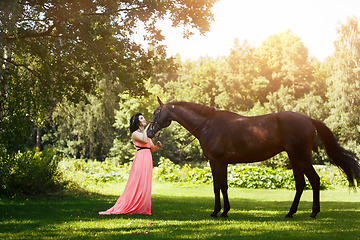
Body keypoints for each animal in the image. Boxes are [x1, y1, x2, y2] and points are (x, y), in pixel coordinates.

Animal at [147, 98, 360, 219]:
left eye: (156, 112)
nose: (149, 131)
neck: (207, 124)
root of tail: (308, 119)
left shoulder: (215, 161)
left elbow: (216, 186)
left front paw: (216, 212)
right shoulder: (223, 163)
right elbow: (224, 186)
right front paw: (225, 211)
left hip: (300, 158)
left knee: (314, 180)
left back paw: (313, 213)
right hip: (295, 158)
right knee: (301, 184)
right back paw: (290, 213)